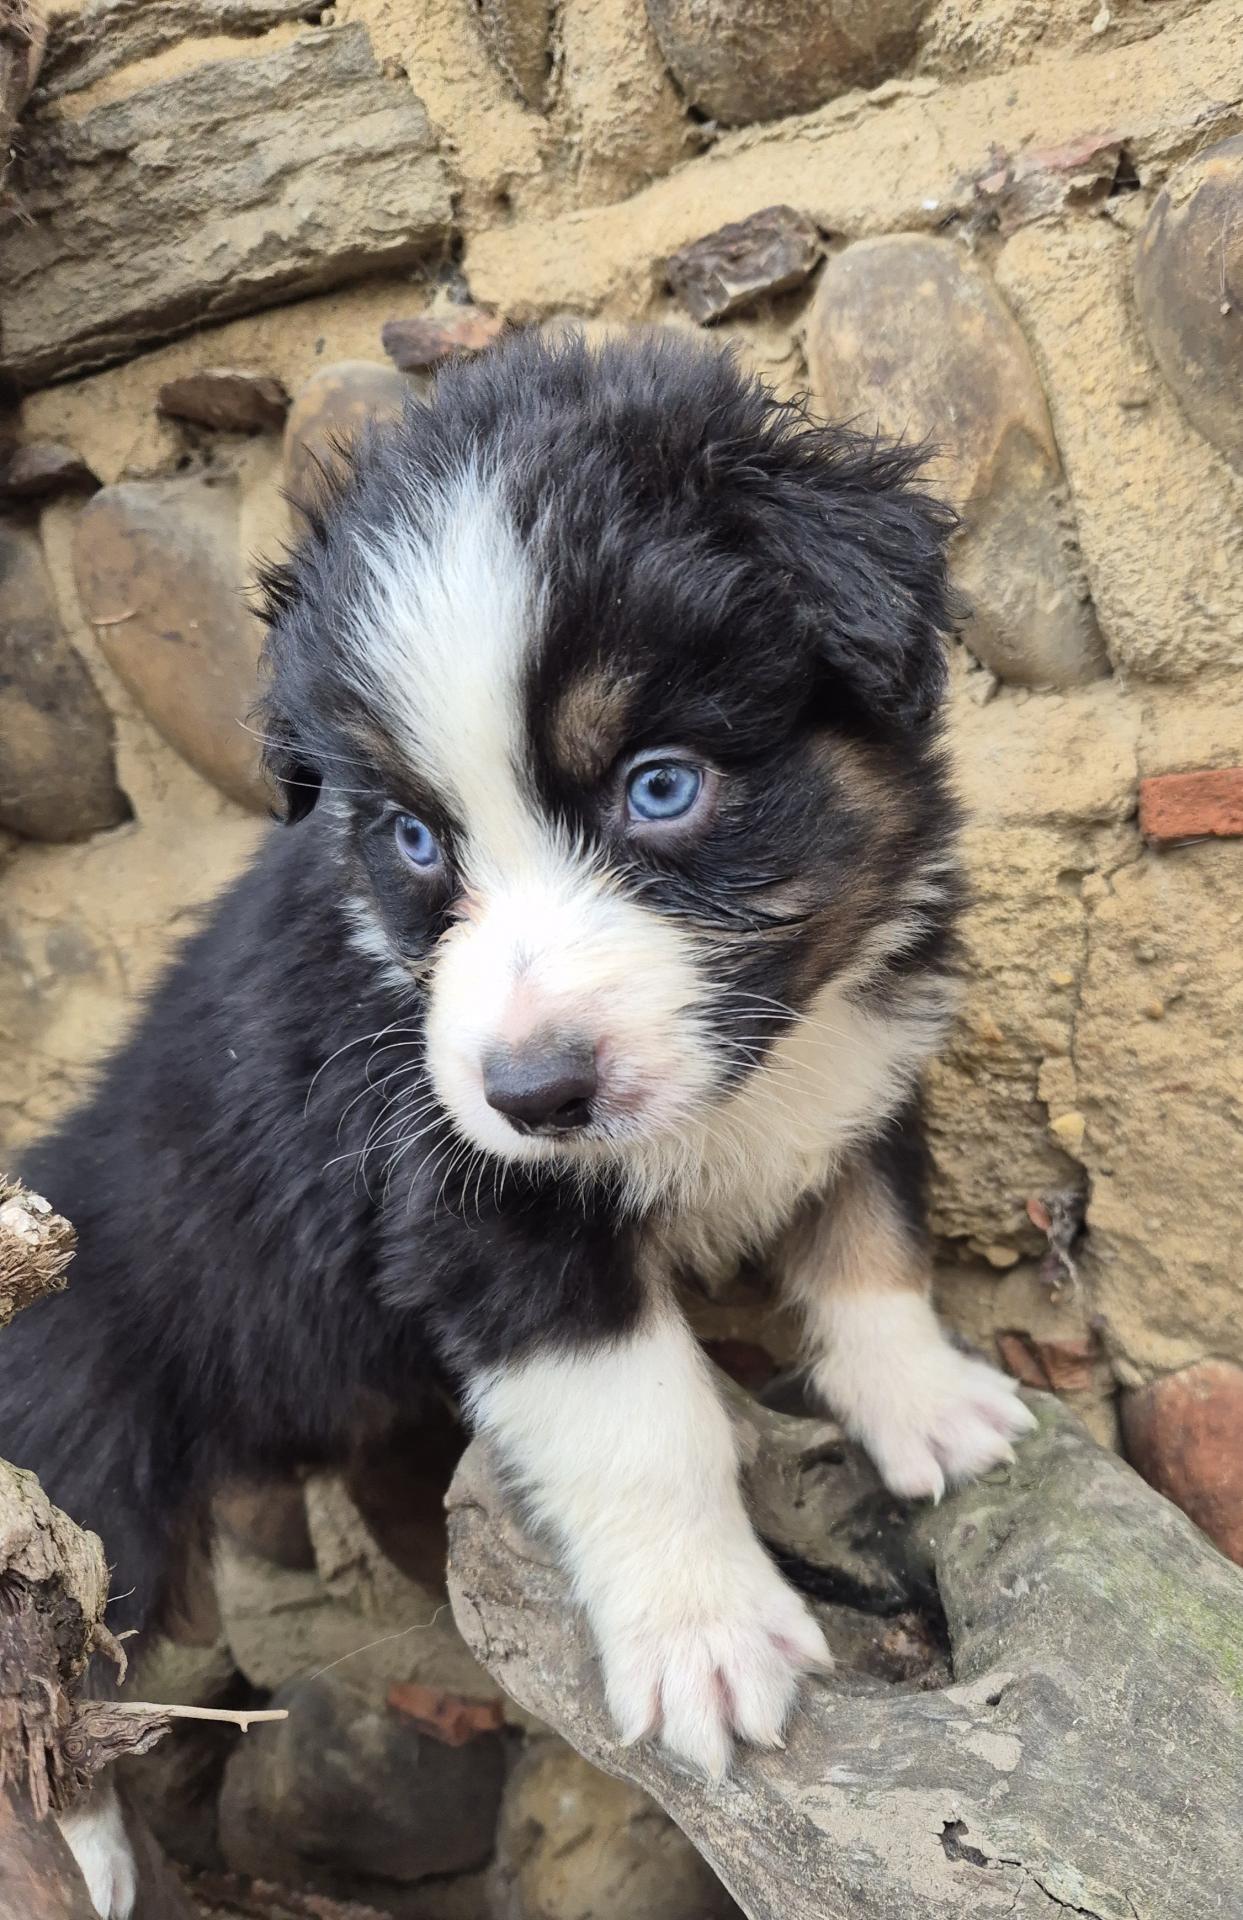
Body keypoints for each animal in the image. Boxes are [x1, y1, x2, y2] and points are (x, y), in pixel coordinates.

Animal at [1, 331, 1034, 1915]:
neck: (753, 1066)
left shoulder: (865, 1045)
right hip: (74, 1437)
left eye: (661, 787)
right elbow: (646, 1425)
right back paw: (87, 1849)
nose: (533, 1095)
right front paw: (705, 1643)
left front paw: (926, 1404)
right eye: (414, 839)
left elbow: (873, 1235)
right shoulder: (477, 1212)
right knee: (63, 1638)